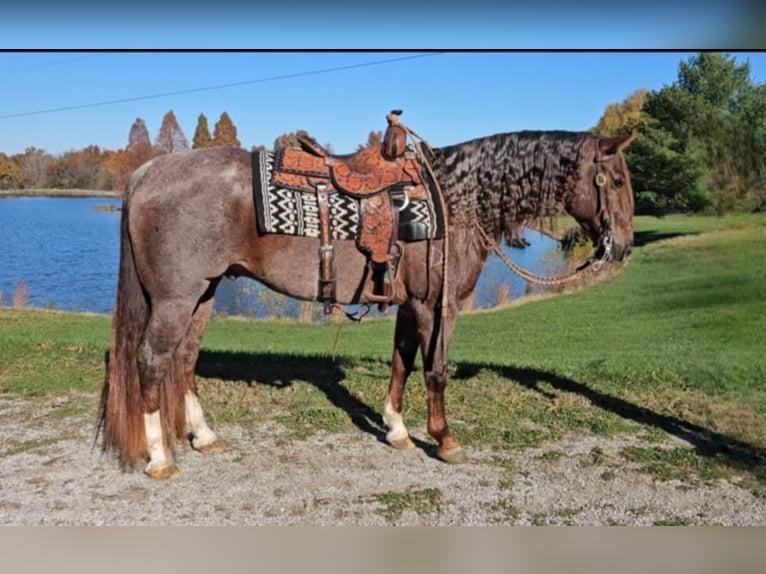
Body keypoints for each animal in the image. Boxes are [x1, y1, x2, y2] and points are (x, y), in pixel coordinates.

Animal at [98, 128, 636, 479]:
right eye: (615, 181)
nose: (624, 247)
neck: (454, 201)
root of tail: (147, 171)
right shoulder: (437, 306)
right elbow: (435, 370)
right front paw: (444, 440)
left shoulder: (409, 305)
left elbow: (401, 362)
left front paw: (396, 429)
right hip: (175, 298)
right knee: (151, 362)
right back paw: (160, 458)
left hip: (203, 294)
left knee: (184, 360)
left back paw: (203, 435)